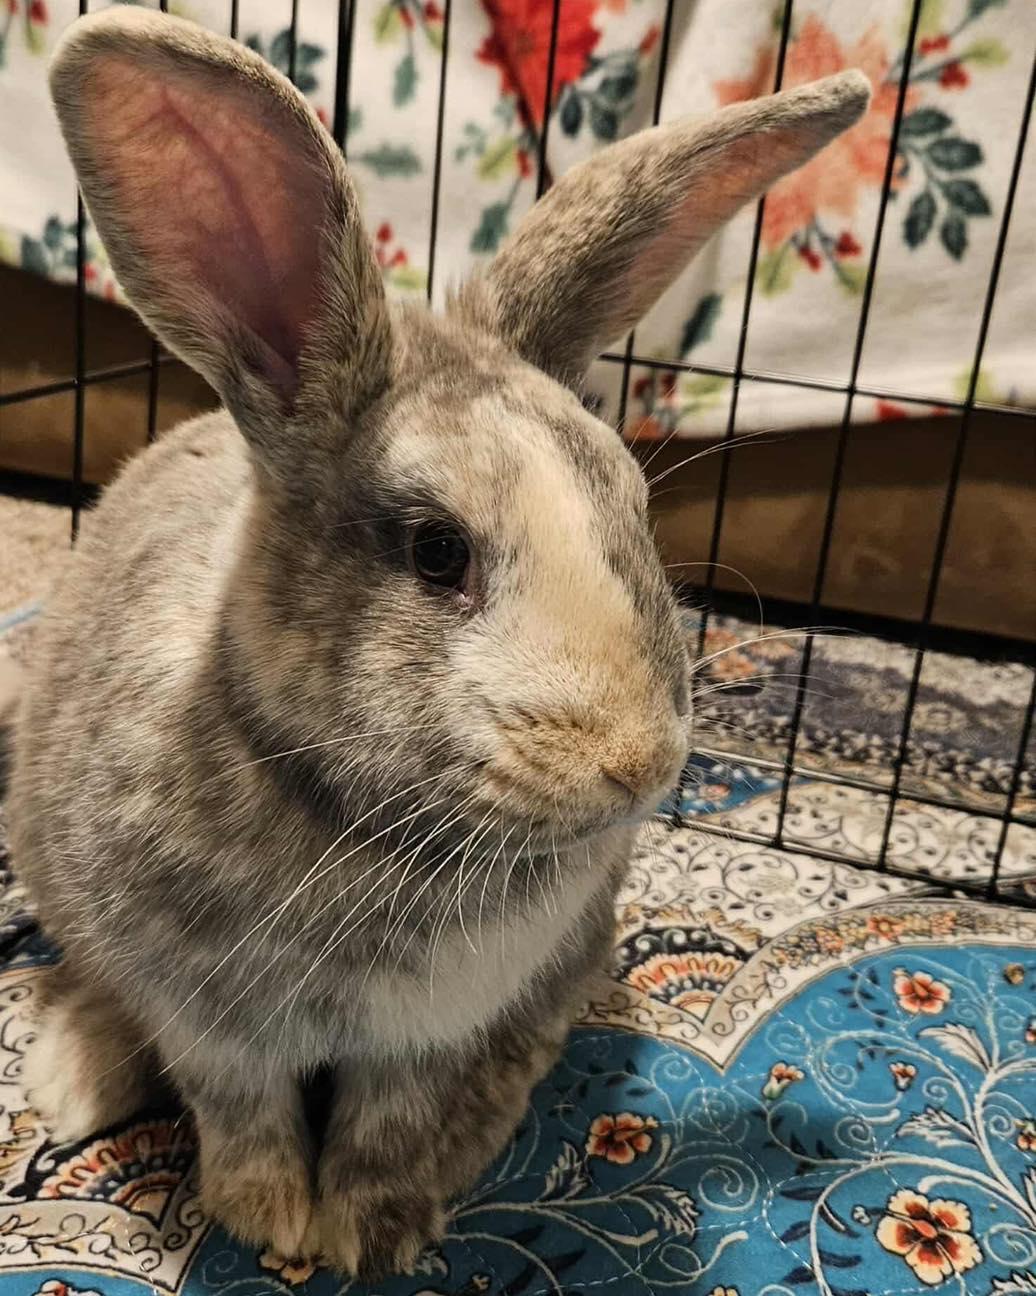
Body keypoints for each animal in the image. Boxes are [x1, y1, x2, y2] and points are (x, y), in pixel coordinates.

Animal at [7, 5, 869, 1279]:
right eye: (434, 550)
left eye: (630, 502)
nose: (639, 766)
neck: (366, 826)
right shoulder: (212, 1027)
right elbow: (242, 1117)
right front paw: (269, 1220)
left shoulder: (428, 1036)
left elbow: (388, 1125)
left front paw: (369, 1229)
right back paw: (68, 1081)